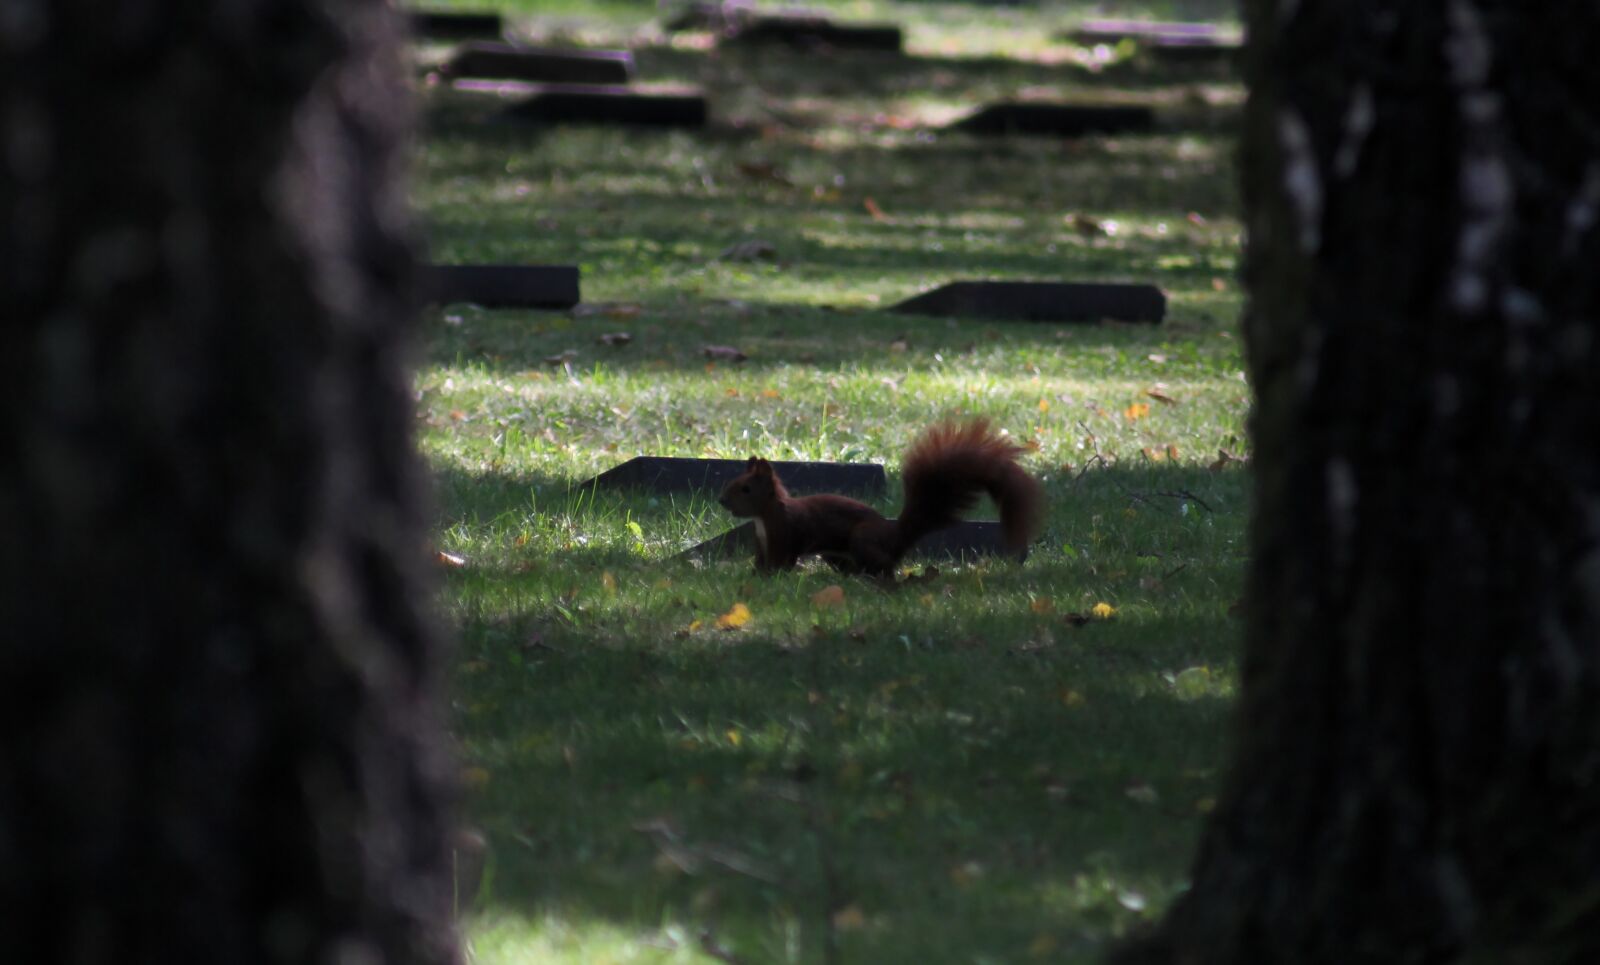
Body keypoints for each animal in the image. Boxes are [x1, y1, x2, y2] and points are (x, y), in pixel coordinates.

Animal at [720, 419, 1043, 576]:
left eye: (745, 488)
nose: (722, 502)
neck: (764, 516)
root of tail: (896, 538)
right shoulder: (762, 541)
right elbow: (761, 561)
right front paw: (754, 575)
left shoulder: (785, 534)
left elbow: (781, 561)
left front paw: (771, 578)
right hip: (836, 554)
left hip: (863, 538)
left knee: (885, 567)